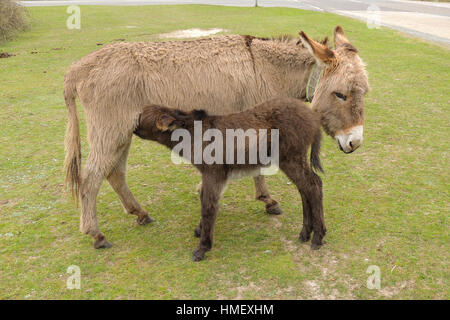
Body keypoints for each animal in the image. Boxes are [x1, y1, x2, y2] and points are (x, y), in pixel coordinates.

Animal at [135, 97, 326, 260]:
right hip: (292, 160)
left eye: (141, 116)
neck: (193, 134)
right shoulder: (211, 175)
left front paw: (203, 247)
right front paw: (200, 230)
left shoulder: (214, 173)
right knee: (305, 189)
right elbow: (204, 198)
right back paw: (306, 233)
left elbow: (208, 206)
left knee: (313, 185)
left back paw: (317, 237)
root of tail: (312, 116)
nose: (133, 128)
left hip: (290, 158)